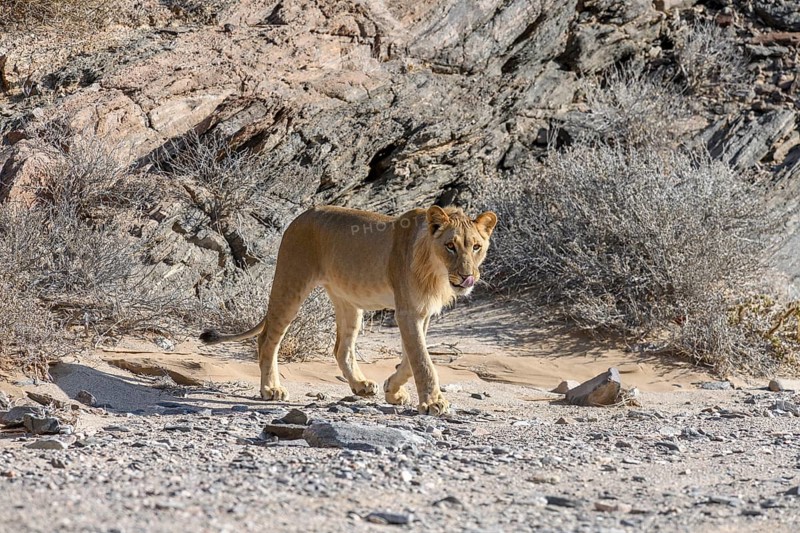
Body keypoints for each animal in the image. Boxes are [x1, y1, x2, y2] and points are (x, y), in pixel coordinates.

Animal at [200, 204, 497, 415]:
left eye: (476, 247)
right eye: (450, 246)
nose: (467, 277)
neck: (436, 273)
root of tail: (301, 216)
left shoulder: (421, 314)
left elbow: (411, 358)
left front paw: (392, 390)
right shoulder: (407, 312)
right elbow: (423, 361)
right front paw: (433, 403)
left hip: (349, 303)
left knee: (341, 348)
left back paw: (360, 385)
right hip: (290, 284)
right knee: (267, 339)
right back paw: (271, 388)